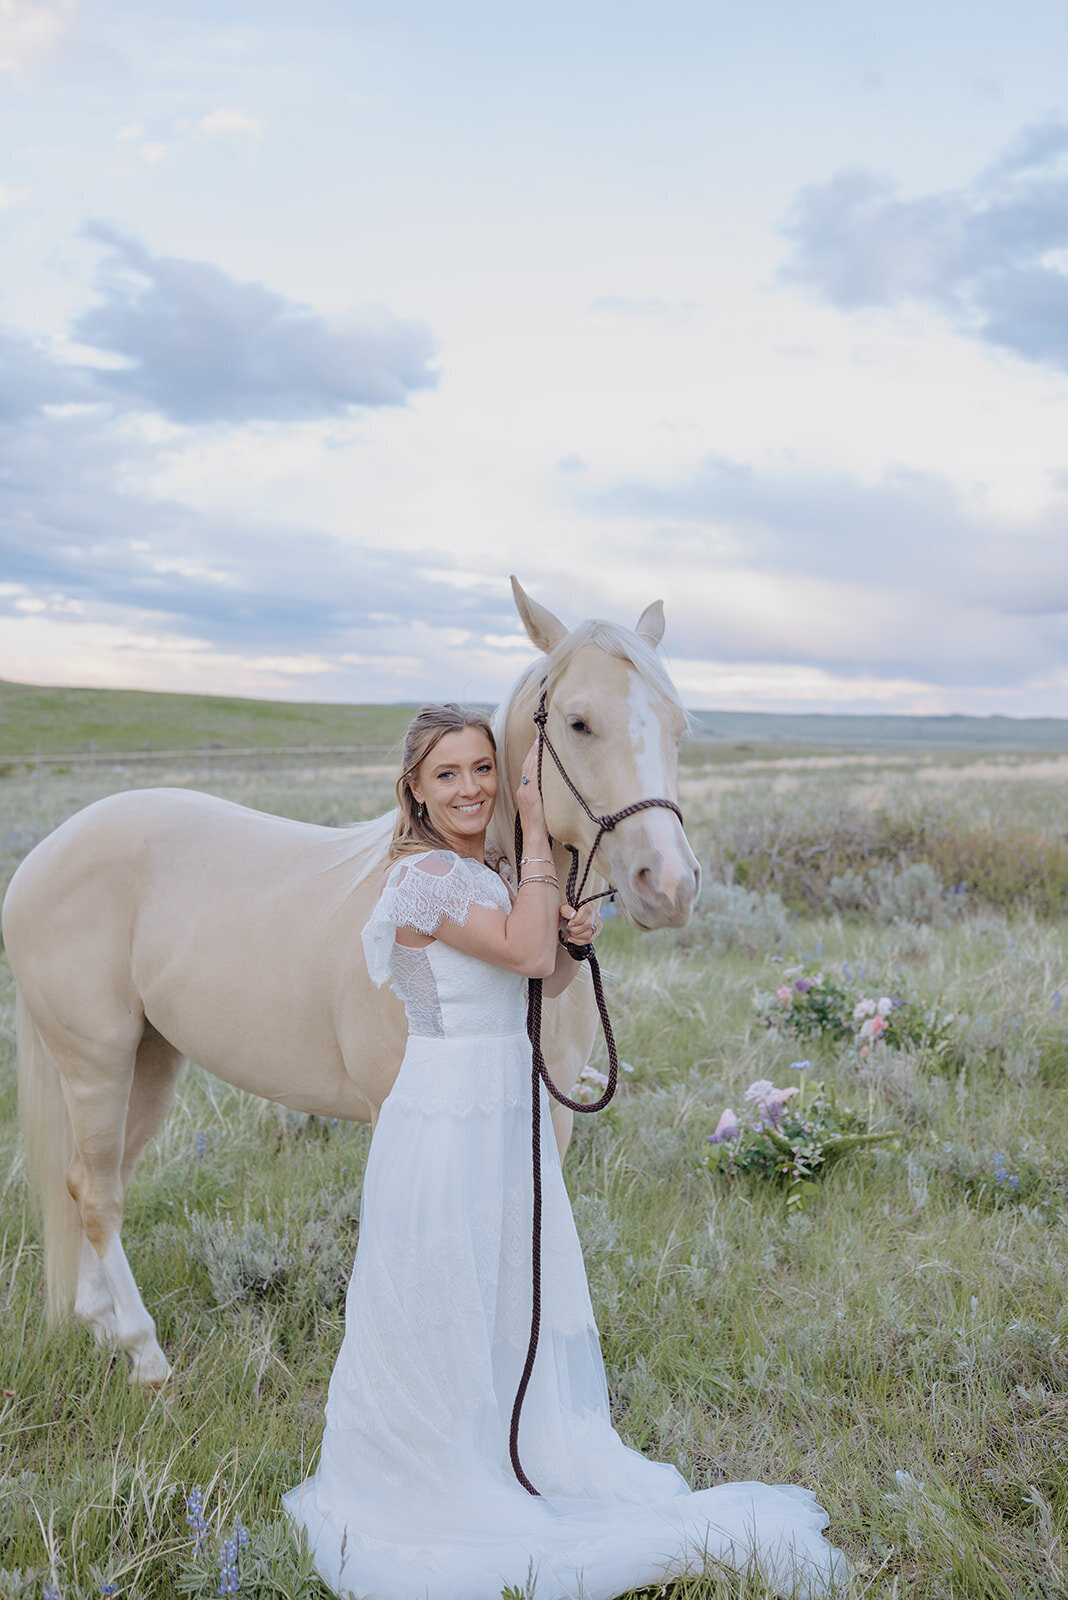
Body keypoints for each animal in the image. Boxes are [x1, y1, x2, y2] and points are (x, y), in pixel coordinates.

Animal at [4, 582, 700, 1382]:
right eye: (580, 721)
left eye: (678, 727)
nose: (669, 884)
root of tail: (45, 854)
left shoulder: (548, 1118)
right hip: (98, 1063)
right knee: (97, 1195)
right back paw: (145, 1354)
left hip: (147, 1063)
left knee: (95, 1179)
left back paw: (100, 1324)